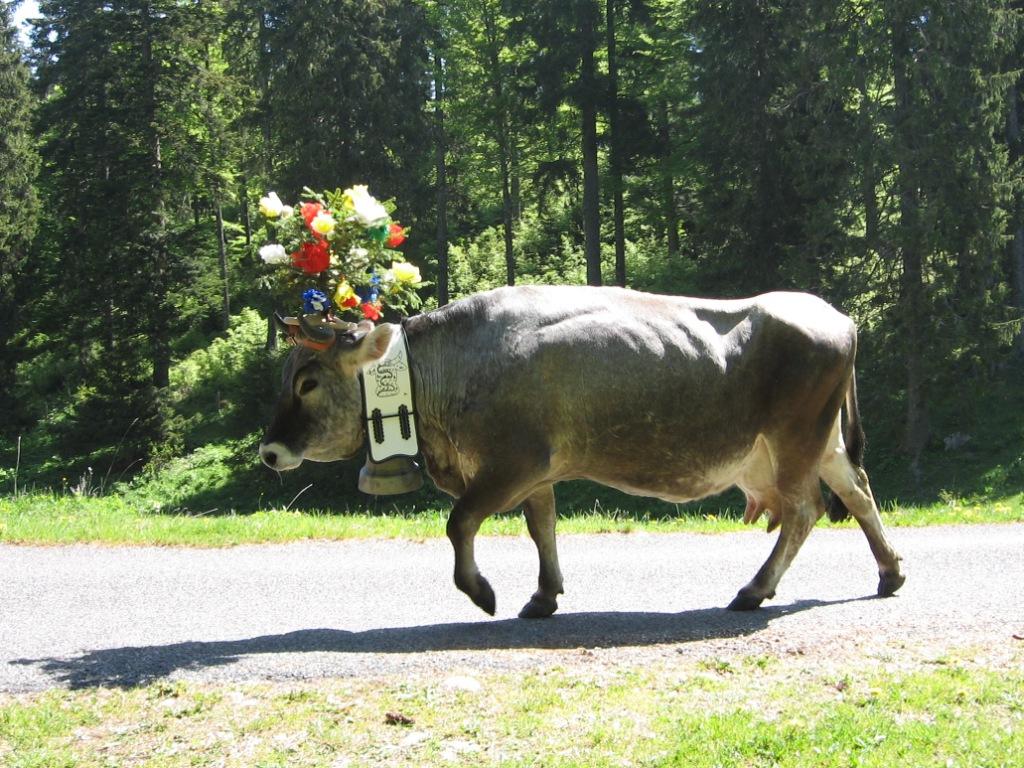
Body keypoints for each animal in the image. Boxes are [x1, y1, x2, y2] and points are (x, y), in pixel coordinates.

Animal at [260, 286, 909, 618]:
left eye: (308, 382)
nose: (268, 451)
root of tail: (837, 315)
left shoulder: (510, 463)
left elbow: (459, 521)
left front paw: (482, 592)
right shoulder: (536, 472)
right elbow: (541, 527)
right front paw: (544, 595)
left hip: (795, 439)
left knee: (805, 510)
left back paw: (754, 590)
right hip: (821, 444)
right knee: (859, 493)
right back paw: (890, 572)